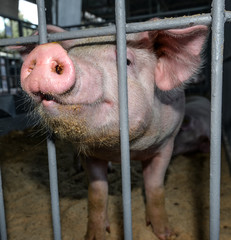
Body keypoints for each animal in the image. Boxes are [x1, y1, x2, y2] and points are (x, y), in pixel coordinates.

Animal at [16, 23, 208, 240]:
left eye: (126, 61)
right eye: (71, 52)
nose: (46, 51)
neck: (122, 149)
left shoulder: (167, 143)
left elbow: (155, 187)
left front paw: (166, 234)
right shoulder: (91, 154)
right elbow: (97, 192)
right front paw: (94, 236)